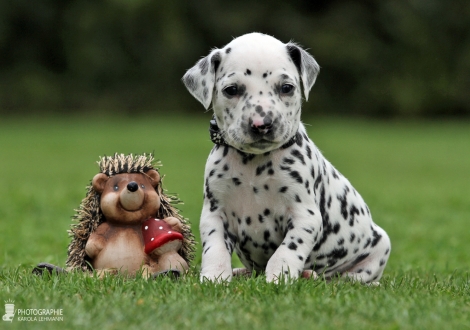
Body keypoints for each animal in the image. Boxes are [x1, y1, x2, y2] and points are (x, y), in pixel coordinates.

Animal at [182, 31, 392, 284]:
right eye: (231, 90)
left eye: (286, 87)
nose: (261, 124)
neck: (253, 165)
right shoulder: (214, 214)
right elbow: (215, 249)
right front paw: (214, 277)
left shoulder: (305, 216)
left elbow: (287, 250)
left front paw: (278, 278)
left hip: (380, 246)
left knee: (348, 278)